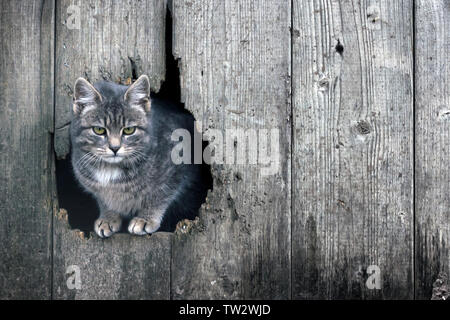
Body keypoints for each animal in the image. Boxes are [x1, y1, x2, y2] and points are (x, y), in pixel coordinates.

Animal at [70, 74, 207, 236]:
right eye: (99, 130)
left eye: (129, 130)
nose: (114, 148)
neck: (110, 168)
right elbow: (105, 201)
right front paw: (108, 217)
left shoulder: (177, 169)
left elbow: (158, 196)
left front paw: (145, 219)